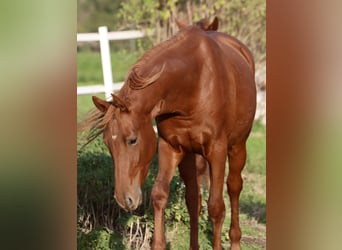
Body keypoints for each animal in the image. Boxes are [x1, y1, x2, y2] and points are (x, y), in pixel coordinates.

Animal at [81, 18, 255, 250]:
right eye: (108, 143)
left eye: (132, 140)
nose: (124, 199)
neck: (194, 83)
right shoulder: (169, 147)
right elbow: (159, 195)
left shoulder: (216, 151)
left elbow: (216, 207)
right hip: (190, 155)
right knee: (193, 199)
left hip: (237, 146)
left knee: (234, 187)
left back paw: (235, 240)